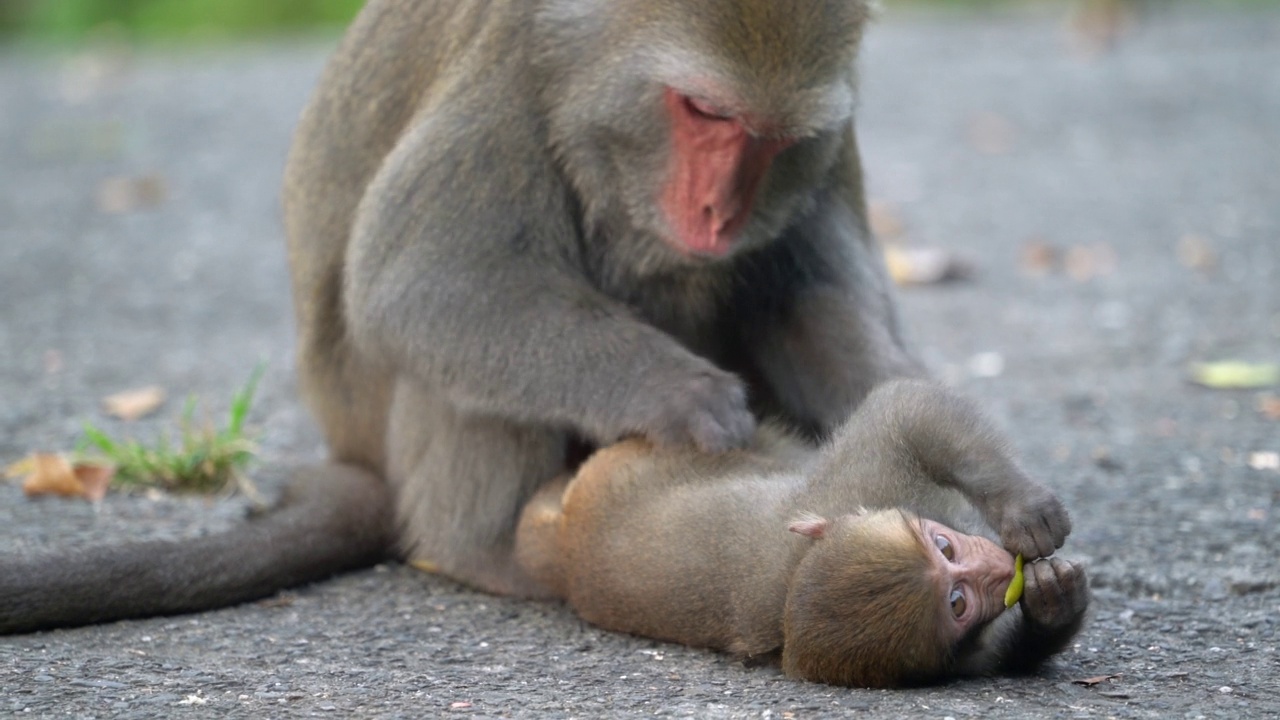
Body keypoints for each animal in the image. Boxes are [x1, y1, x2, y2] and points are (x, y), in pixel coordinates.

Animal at [2, 0, 1049, 627]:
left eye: (765, 137)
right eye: (701, 113)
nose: (718, 214)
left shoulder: (825, 140)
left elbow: (807, 304)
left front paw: (983, 479)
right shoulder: (510, 80)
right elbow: (422, 284)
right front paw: (686, 397)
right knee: (453, 363)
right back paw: (488, 551)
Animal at [514, 376, 1085, 681]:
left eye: (944, 545)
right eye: (957, 602)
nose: (997, 568)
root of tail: (564, 542)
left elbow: (905, 410)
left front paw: (1046, 588)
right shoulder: (866, 479)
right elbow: (902, 414)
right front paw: (1027, 521)